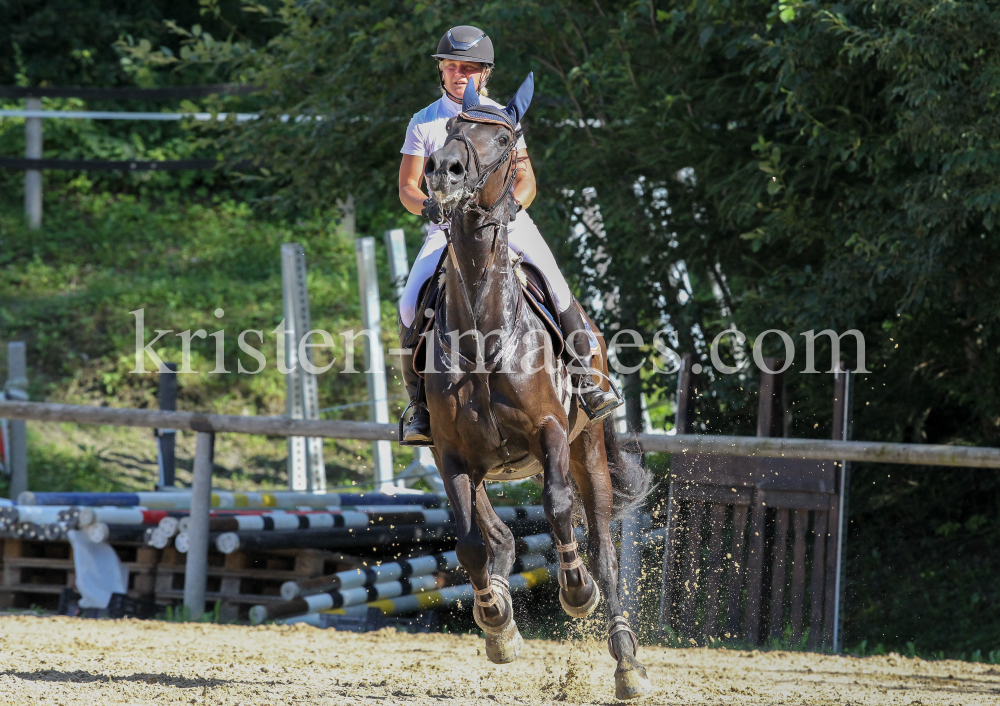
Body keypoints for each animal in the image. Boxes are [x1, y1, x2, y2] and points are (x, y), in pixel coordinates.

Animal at [416, 74, 656, 696]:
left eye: (504, 141)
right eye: (450, 130)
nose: (444, 170)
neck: (483, 328)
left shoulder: (549, 431)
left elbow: (556, 504)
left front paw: (576, 592)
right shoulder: (451, 453)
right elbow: (470, 542)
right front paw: (497, 624)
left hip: (587, 447)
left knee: (602, 546)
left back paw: (627, 661)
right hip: (475, 464)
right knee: (493, 536)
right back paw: (496, 609)